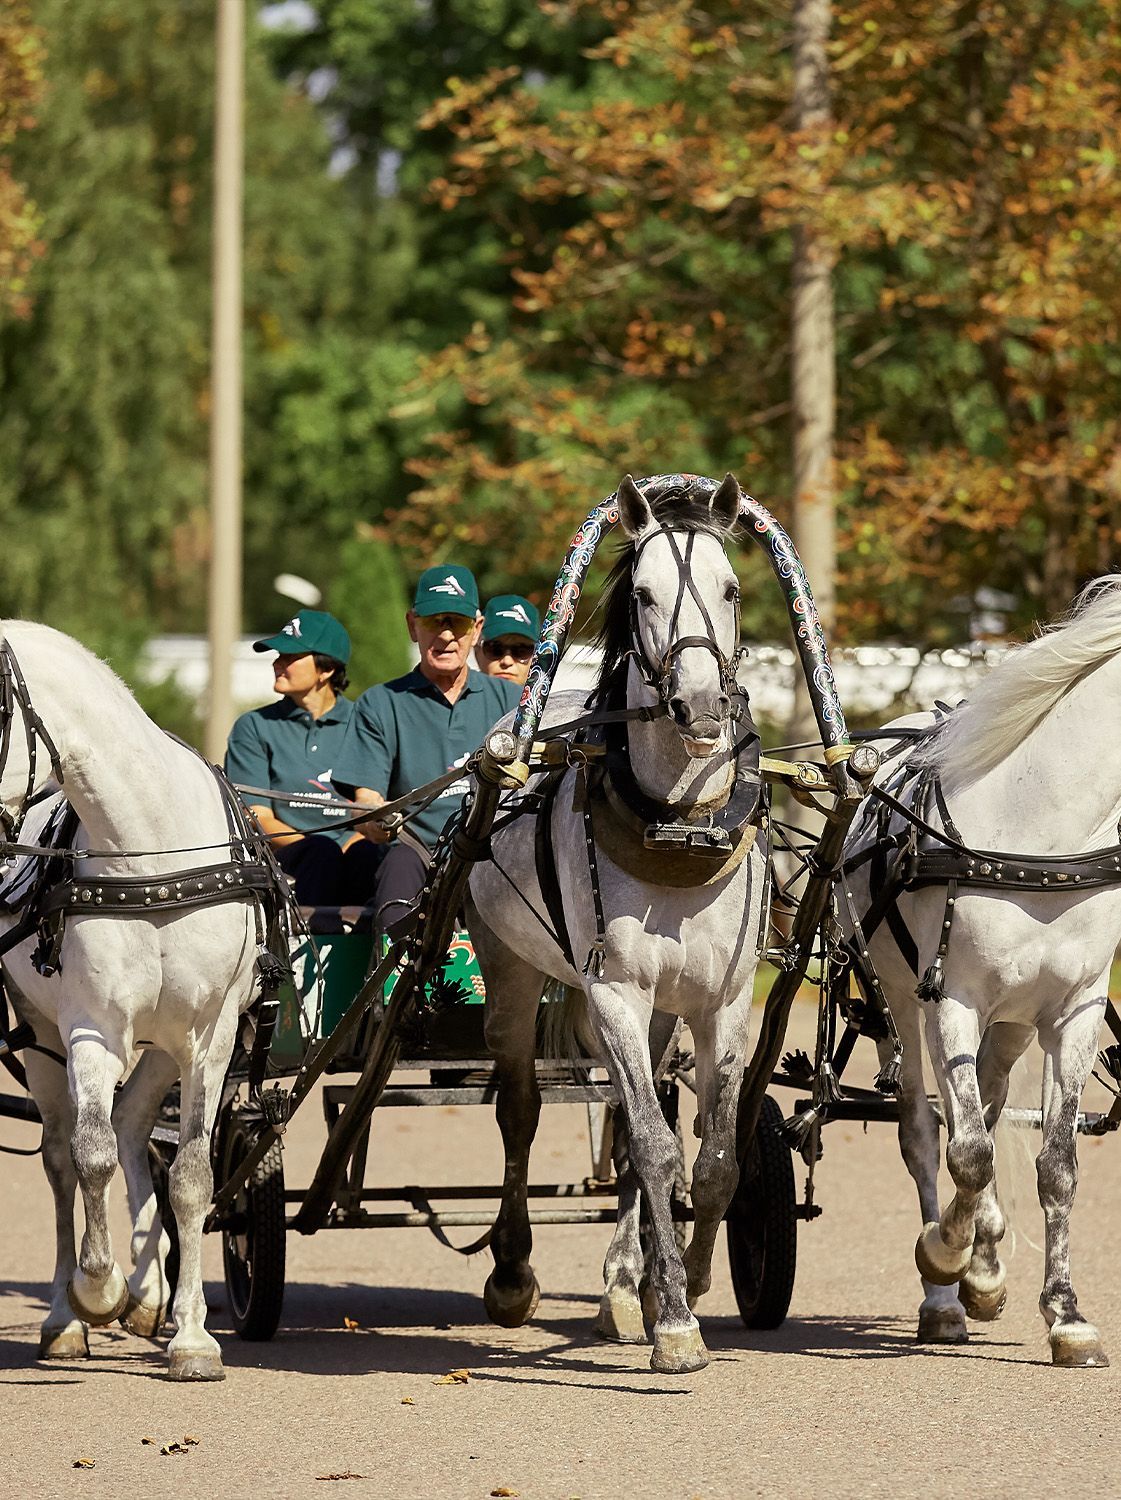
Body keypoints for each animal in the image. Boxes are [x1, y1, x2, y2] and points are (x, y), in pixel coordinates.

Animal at [0, 624, 262, 1380]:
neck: (149, 854)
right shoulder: (91, 1031)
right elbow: (90, 1156)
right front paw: (98, 1289)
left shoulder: (210, 1037)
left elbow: (192, 1177)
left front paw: (192, 1336)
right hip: (40, 1037)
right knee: (65, 1157)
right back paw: (68, 1318)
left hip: (165, 1047)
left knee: (135, 1126)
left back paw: (152, 1295)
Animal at [468, 477, 774, 1374]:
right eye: (641, 594)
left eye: (731, 589)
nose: (699, 706)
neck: (676, 826)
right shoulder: (613, 992)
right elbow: (650, 1142)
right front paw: (674, 1322)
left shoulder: (722, 1001)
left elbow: (709, 1156)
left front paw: (690, 1280)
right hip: (512, 969)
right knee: (521, 1108)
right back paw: (515, 1272)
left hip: (663, 1010)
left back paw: (621, 1284)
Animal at [840, 576, 1121, 1374]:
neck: (1040, 835)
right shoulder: (951, 998)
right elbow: (963, 1152)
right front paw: (944, 1256)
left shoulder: (1074, 1011)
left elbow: (1056, 1164)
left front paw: (1064, 1315)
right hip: (904, 1005)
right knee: (923, 1130)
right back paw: (945, 1293)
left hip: (1012, 1021)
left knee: (987, 1106)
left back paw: (985, 1260)